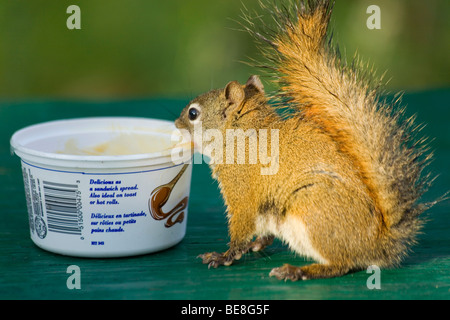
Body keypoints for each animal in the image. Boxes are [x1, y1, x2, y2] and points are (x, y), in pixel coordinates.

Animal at [174, 0, 438, 280]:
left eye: (193, 114)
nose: (176, 124)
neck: (241, 136)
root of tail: (378, 245)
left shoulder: (241, 189)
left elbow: (241, 225)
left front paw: (224, 255)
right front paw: (256, 244)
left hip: (312, 210)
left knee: (342, 263)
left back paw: (298, 270)